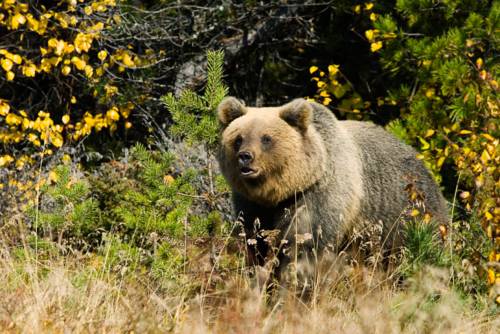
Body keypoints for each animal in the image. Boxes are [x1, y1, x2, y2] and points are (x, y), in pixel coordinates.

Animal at [217, 96, 448, 276]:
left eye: (266, 138)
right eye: (238, 138)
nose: (245, 157)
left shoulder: (319, 196)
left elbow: (305, 244)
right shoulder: (252, 205)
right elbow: (256, 241)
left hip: (409, 216)